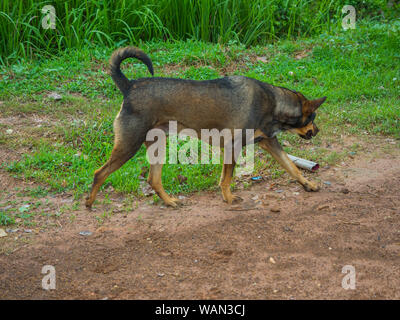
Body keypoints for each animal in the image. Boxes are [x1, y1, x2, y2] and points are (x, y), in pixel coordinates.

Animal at [84, 46, 324, 209]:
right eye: (312, 117)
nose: (318, 130)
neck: (274, 103)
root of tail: (129, 86)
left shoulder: (269, 142)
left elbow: (291, 167)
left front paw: (308, 184)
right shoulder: (232, 146)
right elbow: (226, 179)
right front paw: (228, 198)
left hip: (157, 145)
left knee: (153, 179)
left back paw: (170, 201)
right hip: (129, 145)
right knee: (99, 173)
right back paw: (89, 202)